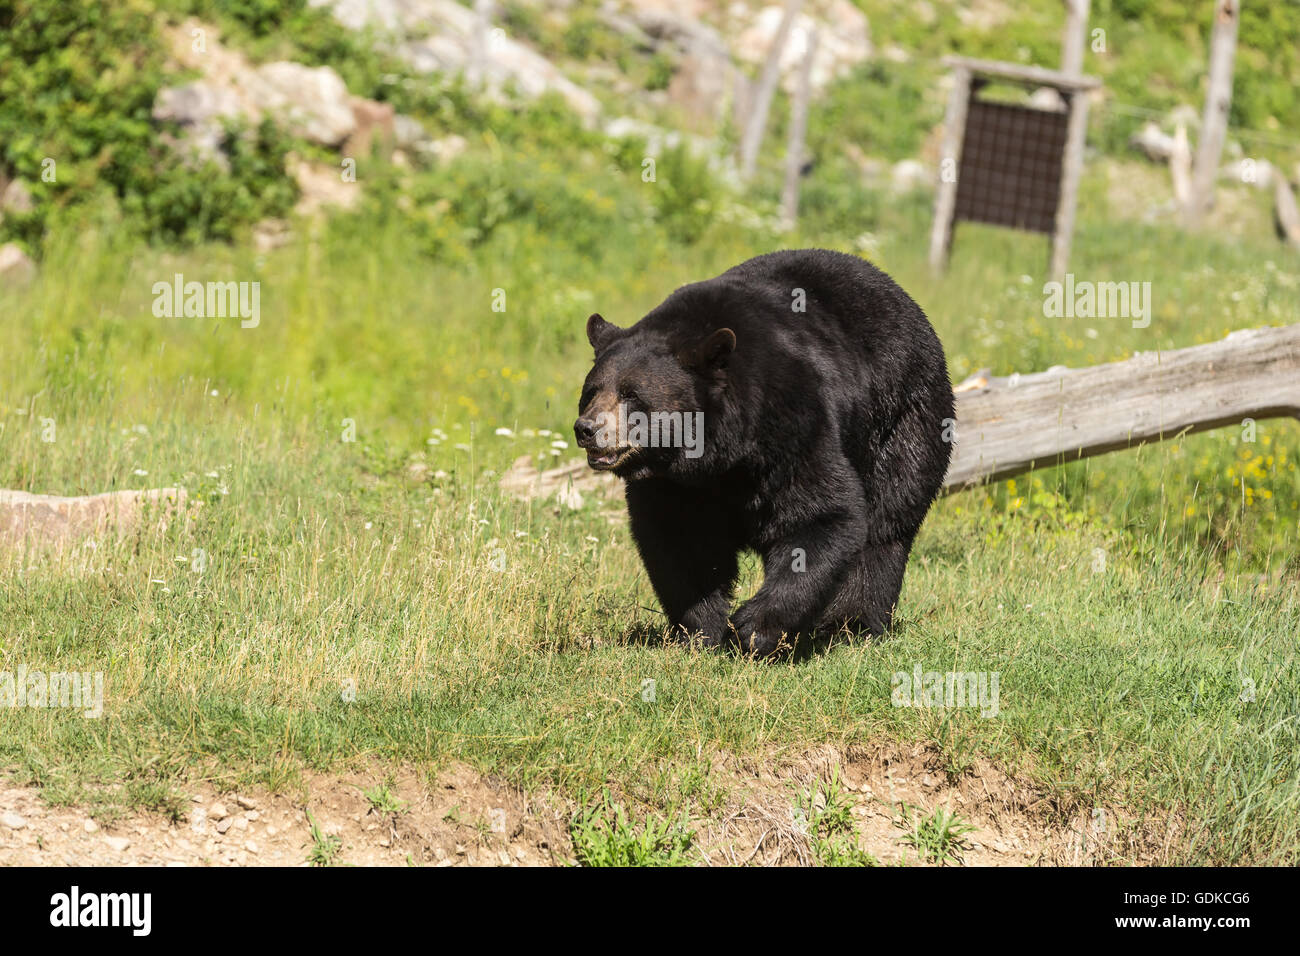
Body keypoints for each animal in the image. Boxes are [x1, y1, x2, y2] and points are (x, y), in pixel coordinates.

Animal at [574, 249, 953, 657]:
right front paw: (699, 632)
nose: (587, 429)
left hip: (902, 418)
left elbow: (820, 514)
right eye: (591, 390)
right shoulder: (674, 484)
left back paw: (851, 625)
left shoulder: (792, 422)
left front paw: (752, 628)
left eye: (631, 395)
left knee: (887, 524)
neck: (717, 457)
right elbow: (680, 540)